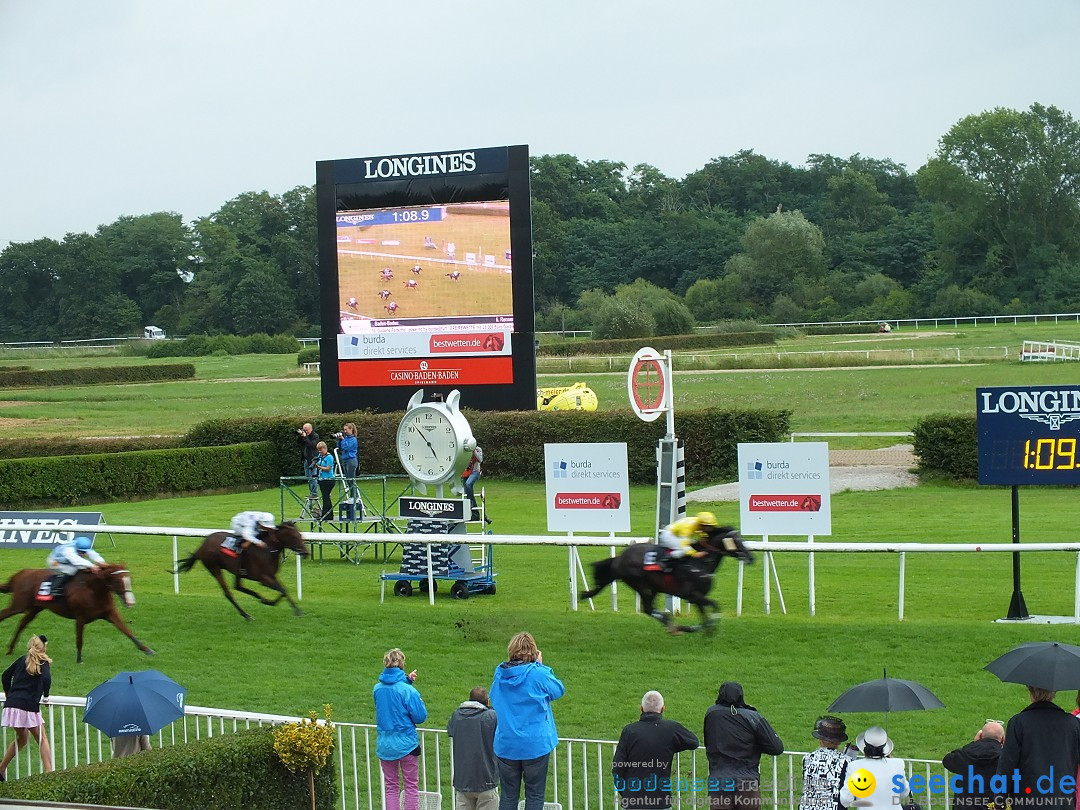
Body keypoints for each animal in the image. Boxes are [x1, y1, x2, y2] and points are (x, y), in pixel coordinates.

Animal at [0, 565, 155, 665]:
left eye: (129, 580)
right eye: (118, 581)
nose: (130, 602)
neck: (93, 590)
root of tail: (21, 573)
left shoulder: (110, 613)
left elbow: (127, 631)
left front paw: (147, 650)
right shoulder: (80, 617)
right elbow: (79, 639)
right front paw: (79, 659)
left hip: (34, 609)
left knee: (22, 624)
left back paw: (10, 649)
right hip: (19, 605)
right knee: (4, 615)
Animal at [174, 522, 306, 617]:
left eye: (300, 535)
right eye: (294, 536)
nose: (306, 553)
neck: (267, 550)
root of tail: (202, 545)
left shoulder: (272, 576)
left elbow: (284, 590)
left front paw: (270, 602)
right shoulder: (263, 578)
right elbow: (282, 590)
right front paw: (296, 610)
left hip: (237, 571)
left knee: (238, 586)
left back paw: (259, 599)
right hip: (214, 567)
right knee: (228, 592)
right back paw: (246, 615)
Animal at [583, 529, 751, 639]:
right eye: (737, 541)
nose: (751, 558)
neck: (700, 562)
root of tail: (618, 559)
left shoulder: (698, 597)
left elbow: (705, 616)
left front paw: (702, 630)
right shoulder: (693, 595)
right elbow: (715, 607)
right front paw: (689, 628)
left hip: (654, 587)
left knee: (649, 609)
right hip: (642, 586)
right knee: (648, 609)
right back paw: (671, 625)